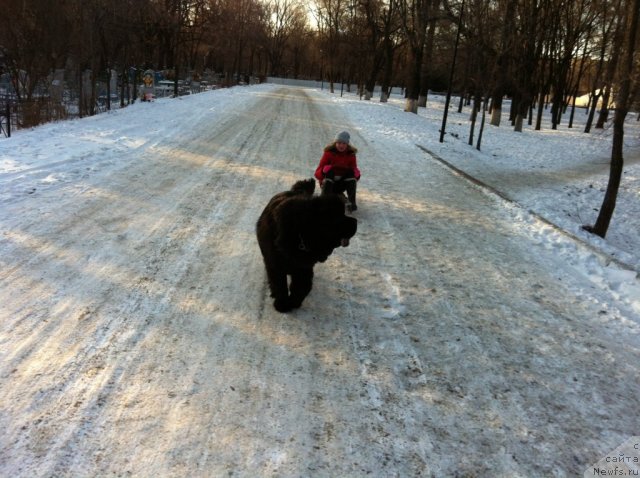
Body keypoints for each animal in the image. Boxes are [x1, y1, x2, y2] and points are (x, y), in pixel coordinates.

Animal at [256, 177, 358, 312]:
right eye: (339, 217)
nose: (356, 222)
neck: (299, 233)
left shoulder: (303, 267)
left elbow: (301, 287)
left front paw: (294, 302)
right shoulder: (276, 266)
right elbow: (279, 284)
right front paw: (282, 304)